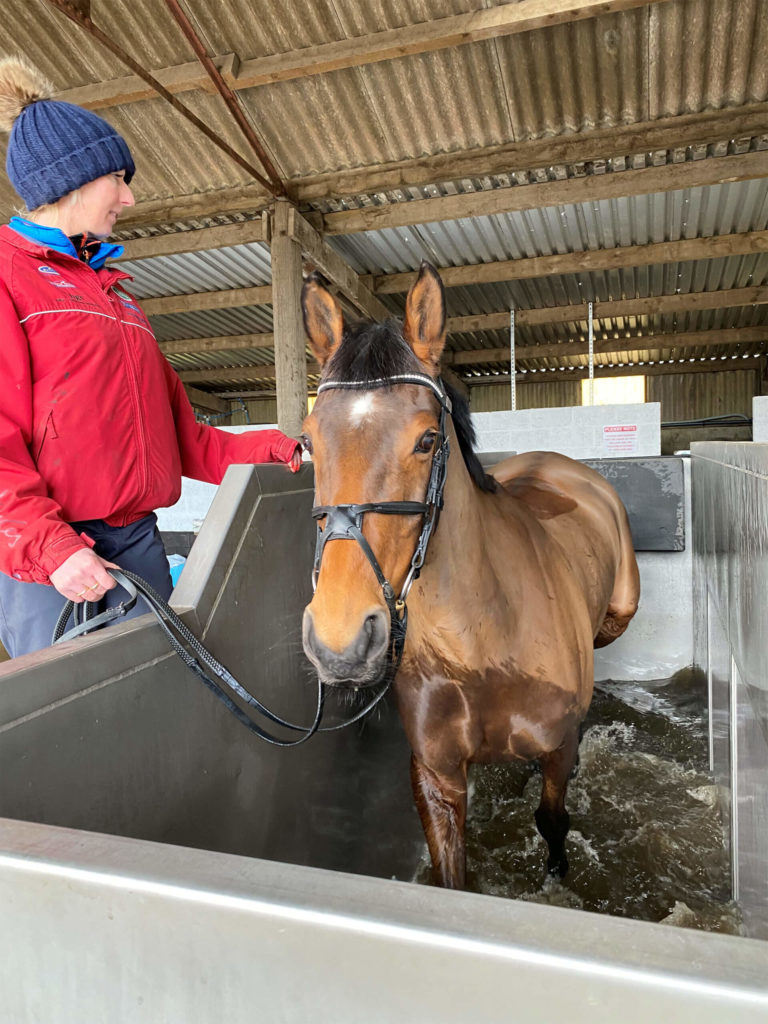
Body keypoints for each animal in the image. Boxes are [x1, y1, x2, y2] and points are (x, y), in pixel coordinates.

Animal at [301, 264, 643, 888]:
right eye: (308, 441)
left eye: (427, 440)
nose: (340, 641)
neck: (483, 645)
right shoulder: (437, 776)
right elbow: (451, 871)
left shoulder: (556, 750)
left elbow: (552, 819)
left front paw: (556, 875)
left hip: (617, 617)